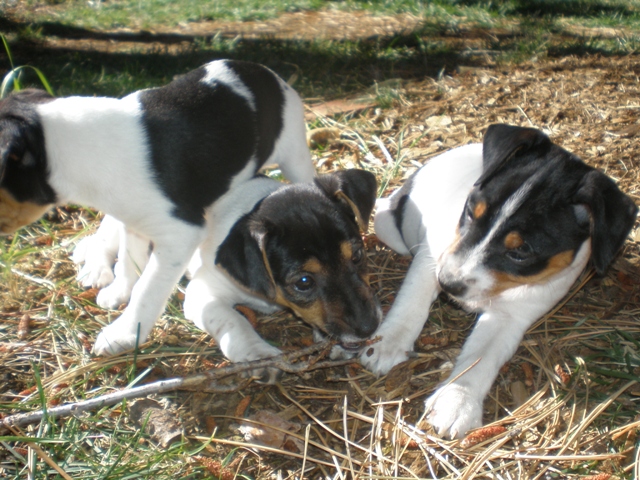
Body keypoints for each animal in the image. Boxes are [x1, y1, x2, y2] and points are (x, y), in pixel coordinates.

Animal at [0, 59, 318, 356]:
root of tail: (262, 71)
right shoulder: (134, 219)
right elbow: (128, 260)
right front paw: (120, 291)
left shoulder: (181, 233)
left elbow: (146, 289)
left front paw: (123, 335)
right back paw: (95, 267)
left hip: (294, 155)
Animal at [75, 169, 380, 378]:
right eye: (304, 282)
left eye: (357, 256)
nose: (369, 328)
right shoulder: (203, 293)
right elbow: (234, 321)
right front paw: (258, 355)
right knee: (106, 238)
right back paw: (97, 272)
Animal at [370, 123, 636, 438]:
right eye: (470, 212)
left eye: (521, 252)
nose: (447, 284)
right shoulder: (432, 255)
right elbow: (411, 303)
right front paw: (387, 343)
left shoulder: (511, 316)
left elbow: (480, 358)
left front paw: (456, 402)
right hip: (386, 224)